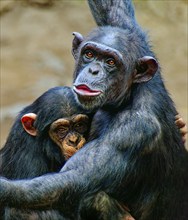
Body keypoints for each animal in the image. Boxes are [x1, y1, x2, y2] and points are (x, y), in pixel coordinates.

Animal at [0, 1, 188, 220]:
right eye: (89, 54)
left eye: (111, 62)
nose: (94, 70)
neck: (127, 97)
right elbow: (116, 13)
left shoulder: (134, 131)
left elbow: (72, 179)